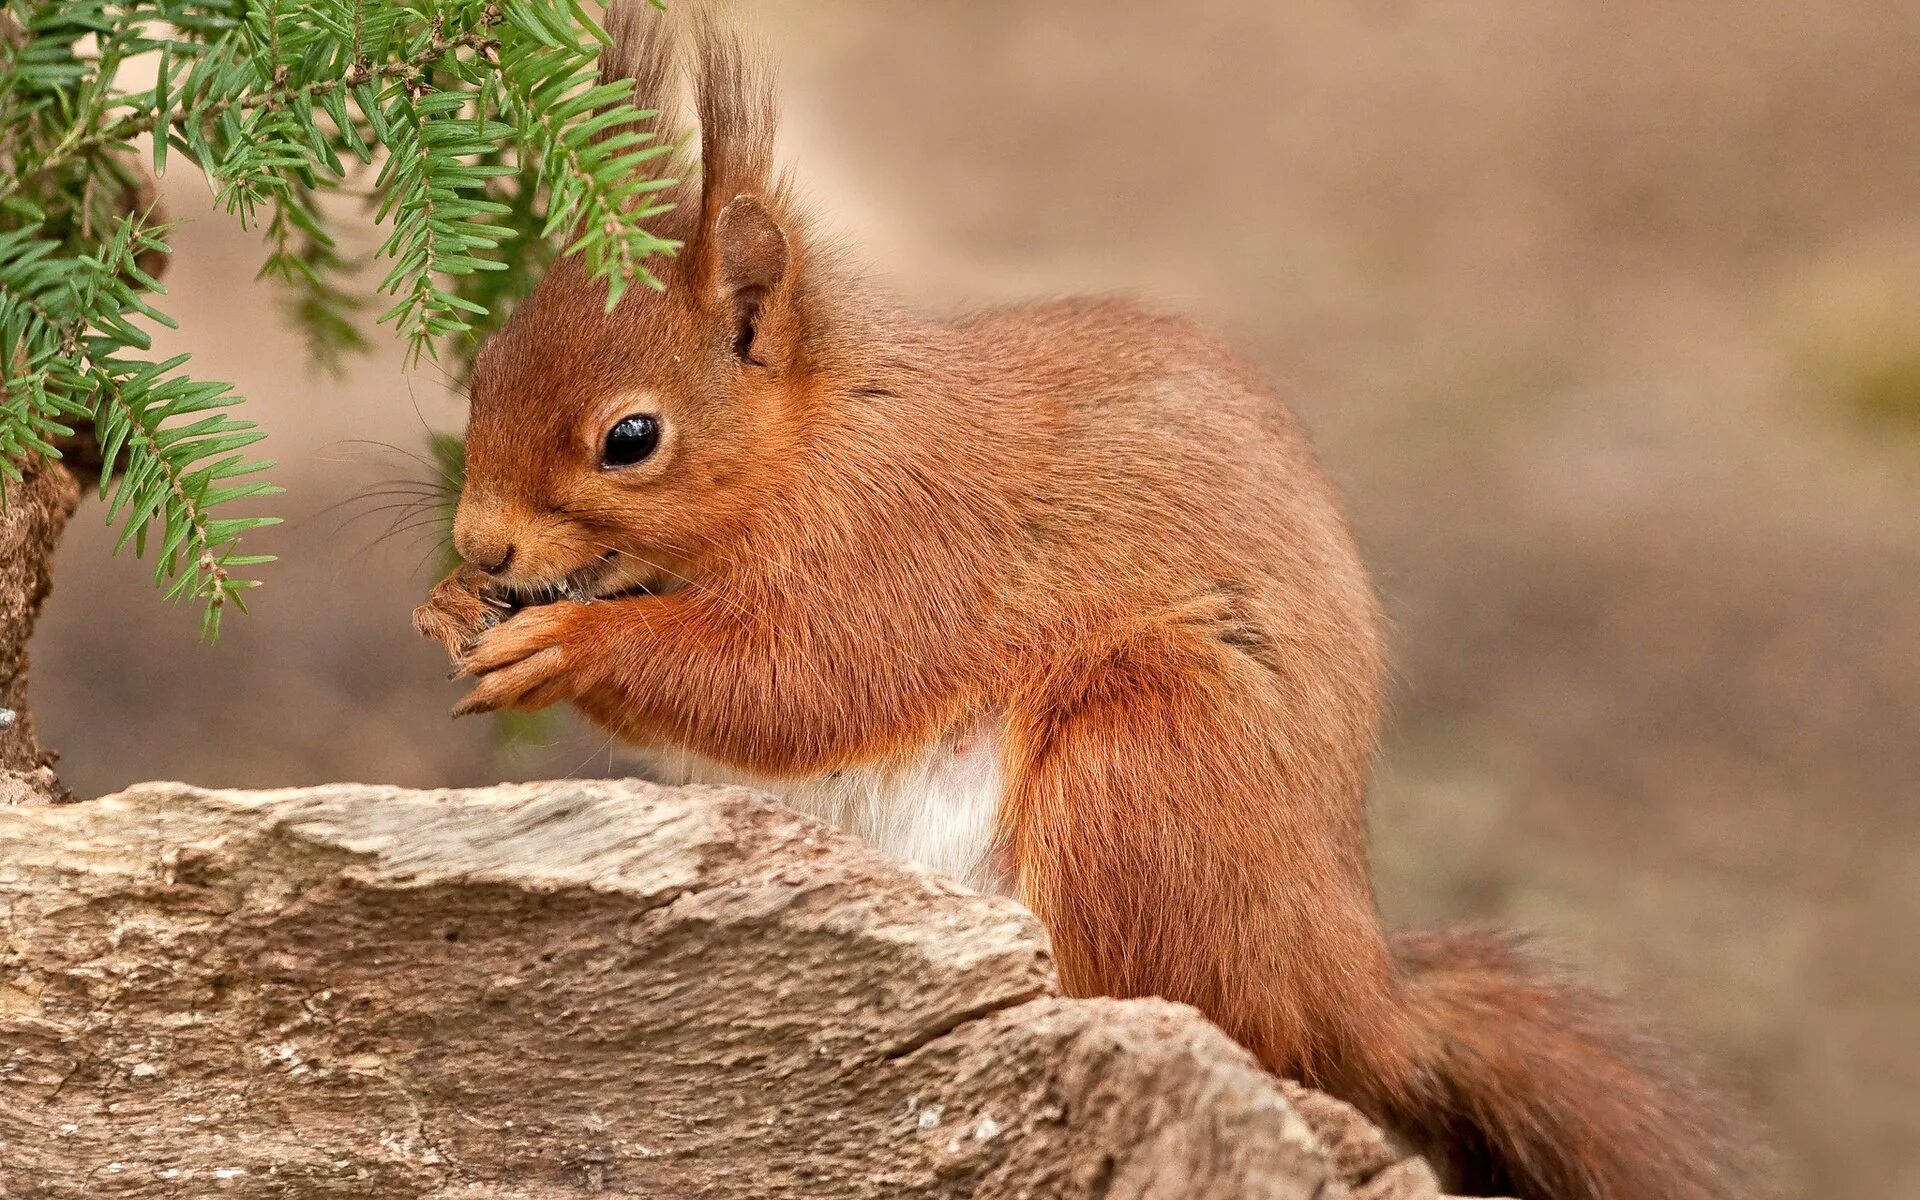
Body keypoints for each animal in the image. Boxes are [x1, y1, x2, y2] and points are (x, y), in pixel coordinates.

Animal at [412, 7, 1751, 1190]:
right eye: (484, 369)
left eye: (631, 438)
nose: (481, 543)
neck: (821, 435)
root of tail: (1354, 986)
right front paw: (448, 606)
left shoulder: (909, 542)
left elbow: (796, 683)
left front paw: (568, 646)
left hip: (1145, 765)